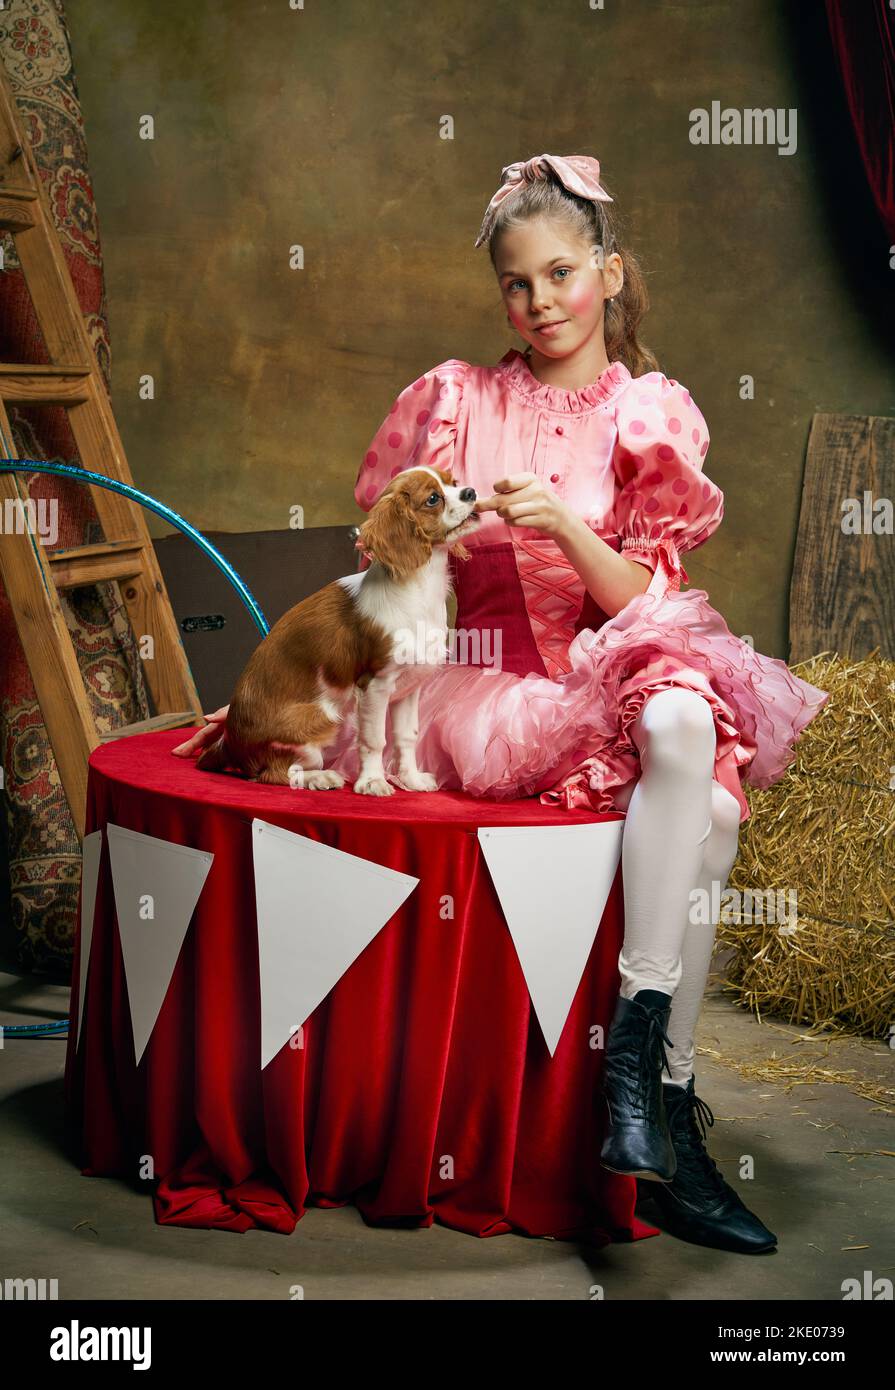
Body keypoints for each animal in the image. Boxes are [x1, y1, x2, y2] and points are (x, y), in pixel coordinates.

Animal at [193, 467, 478, 795]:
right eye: (433, 498)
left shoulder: (409, 684)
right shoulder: (375, 683)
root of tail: (227, 742)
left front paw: (411, 779)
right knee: (274, 773)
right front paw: (373, 782)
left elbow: (408, 736)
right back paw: (320, 777)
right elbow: (374, 739)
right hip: (323, 718)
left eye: (454, 482)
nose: (471, 492)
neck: (419, 585)